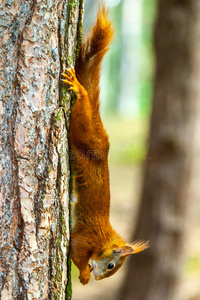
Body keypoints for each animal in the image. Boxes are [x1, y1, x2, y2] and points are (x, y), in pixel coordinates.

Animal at [62, 2, 148, 284]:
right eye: (111, 266)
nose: (99, 278)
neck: (105, 240)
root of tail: (102, 138)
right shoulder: (86, 238)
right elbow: (77, 251)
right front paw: (84, 276)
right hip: (84, 132)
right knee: (83, 105)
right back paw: (79, 89)